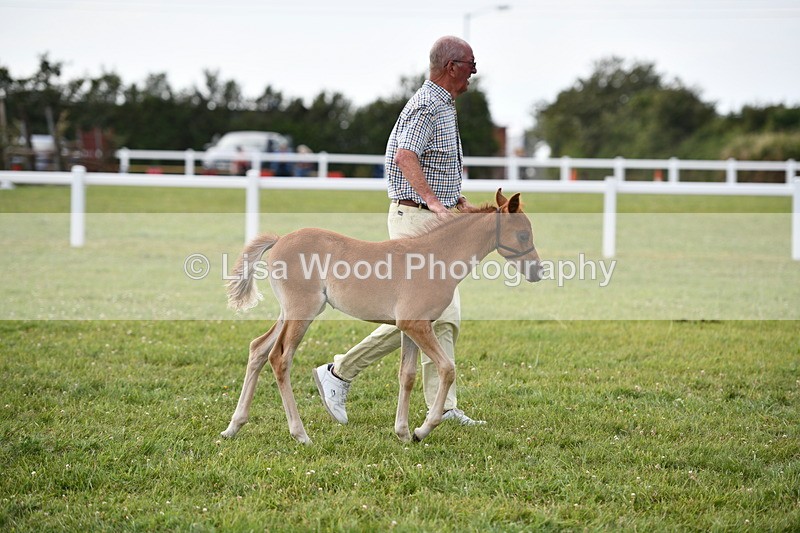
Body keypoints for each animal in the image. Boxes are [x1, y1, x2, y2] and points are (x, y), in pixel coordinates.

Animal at [221, 189, 542, 444]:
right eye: (523, 234)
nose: (537, 272)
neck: (437, 257)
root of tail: (279, 240)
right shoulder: (415, 326)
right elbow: (447, 369)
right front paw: (423, 429)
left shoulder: (411, 328)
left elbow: (407, 376)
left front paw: (403, 432)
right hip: (303, 312)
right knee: (279, 358)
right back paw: (300, 434)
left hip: (287, 312)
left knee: (258, 348)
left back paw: (234, 427)